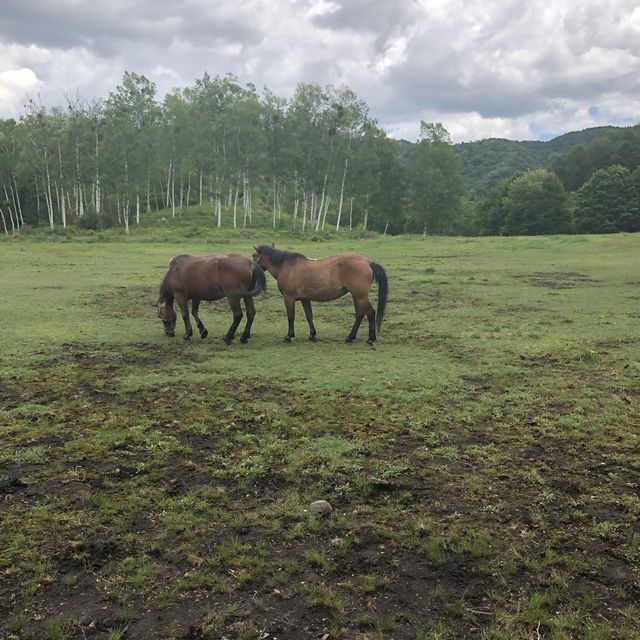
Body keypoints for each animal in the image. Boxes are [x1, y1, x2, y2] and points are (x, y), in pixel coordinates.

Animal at [252, 245, 388, 344]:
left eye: (254, 257)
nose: (252, 272)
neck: (287, 267)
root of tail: (367, 262)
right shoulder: (305, 299)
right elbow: (309, 316)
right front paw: (312, 335)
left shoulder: (289, 298)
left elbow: (291, 317)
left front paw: (289, 336)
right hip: (357, 297)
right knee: (360, 315)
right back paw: (350, 337)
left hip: (360, 297)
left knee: (370, 313)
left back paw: (371, 339)